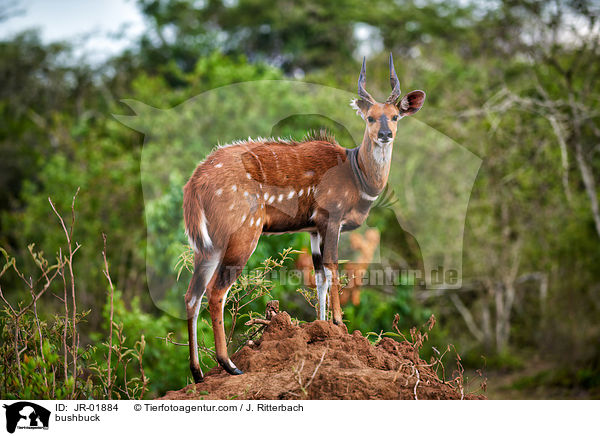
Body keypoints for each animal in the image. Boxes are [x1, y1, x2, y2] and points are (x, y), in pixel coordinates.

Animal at [183, 53, 426, 382]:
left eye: (395, 116)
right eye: (371, 117)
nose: (385, 135)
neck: (357, 173)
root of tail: (194, 182)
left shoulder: (313, 229)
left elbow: (319, 275)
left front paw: (321, 328)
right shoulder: (332, 219)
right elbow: (333, 267)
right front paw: (339, 324)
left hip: (207, 246)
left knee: (191, 295)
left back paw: (198, 373)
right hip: (243, 236)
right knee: (215, 292)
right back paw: (229, 365)